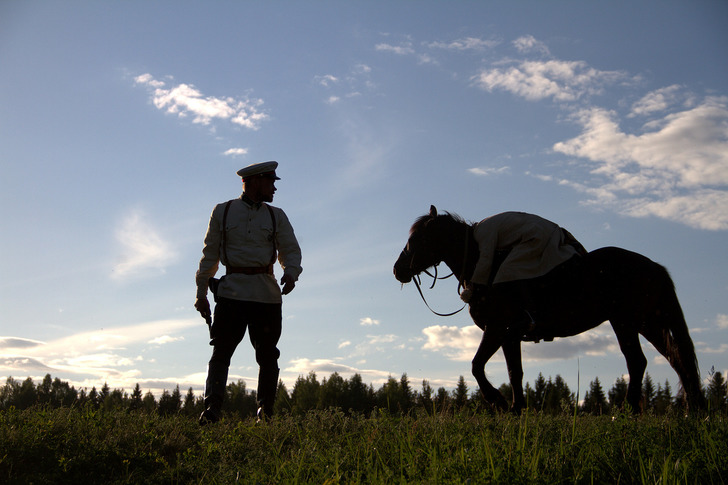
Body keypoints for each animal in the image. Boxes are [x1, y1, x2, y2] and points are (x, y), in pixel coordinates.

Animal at [392, 204, 704, 412]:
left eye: (418, 239)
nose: (398, 270)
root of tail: (654, 267)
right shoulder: (509, 336)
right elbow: (514, 373)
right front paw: (516, 409)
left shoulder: (497, 329)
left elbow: (477, 366)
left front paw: (498, 401)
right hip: (648, 323)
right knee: (677, 360)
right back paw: (691, 410)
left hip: (625, 322)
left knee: (638, 361)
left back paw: (629, 411)